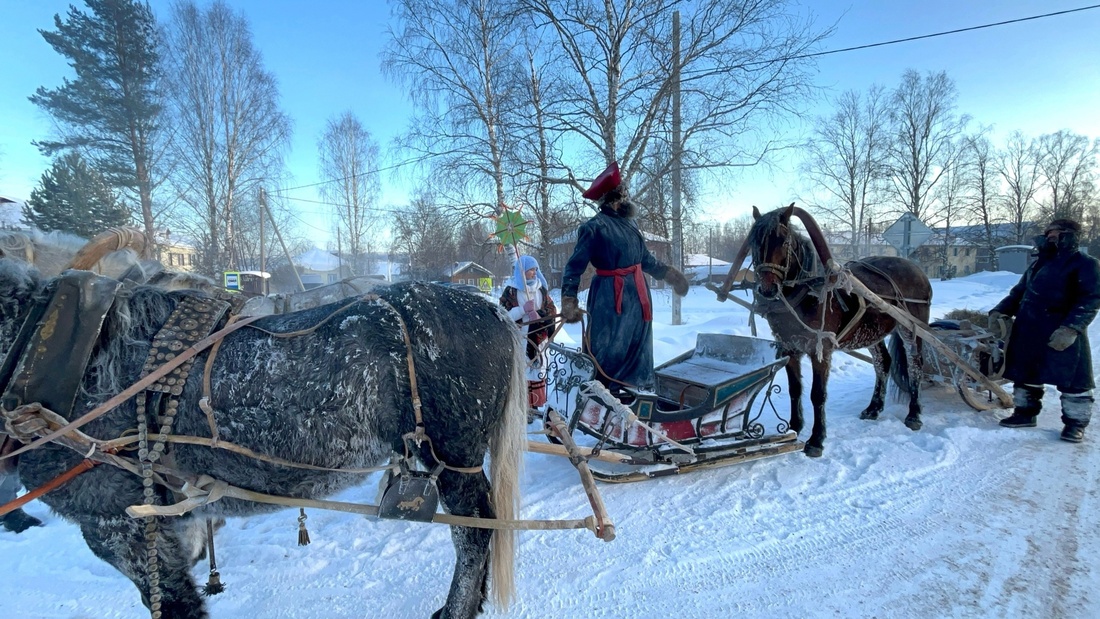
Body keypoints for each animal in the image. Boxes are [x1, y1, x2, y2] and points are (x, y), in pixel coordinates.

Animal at [726, 205, 932, 457]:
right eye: (755, 242)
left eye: (784, 242)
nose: (767, 289)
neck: (806, 293)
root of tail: (916, 268)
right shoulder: (790, 348)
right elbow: (795, 388)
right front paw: (794, 427)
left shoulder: (820, 350)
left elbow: (817, 394)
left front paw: (816, 440)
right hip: (872, 332)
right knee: (883, 363)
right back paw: (873, 408)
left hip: (912, 328)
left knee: (915, 366)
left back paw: (914, 413)